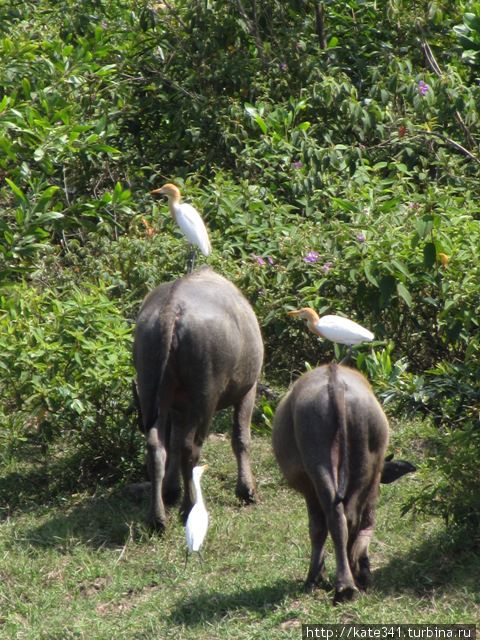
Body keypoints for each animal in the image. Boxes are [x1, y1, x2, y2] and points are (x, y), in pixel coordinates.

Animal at [133, 264, 264, 528]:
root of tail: (172, 308)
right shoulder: (249, 389)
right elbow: (241, 438)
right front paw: (246, 490)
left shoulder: (177, 406)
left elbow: (173, 442)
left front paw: (171, 489)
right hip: (205, 395)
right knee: (190, 449)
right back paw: (189, 506)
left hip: (151, 384)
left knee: (157, 447)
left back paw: (157, 517)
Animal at [272, 362, 414, 604]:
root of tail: (335, 382)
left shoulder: (309, 490)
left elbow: (317, 529)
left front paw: (316, 576)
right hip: (364, 460)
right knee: (351, 519)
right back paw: (353, 579)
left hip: (318, 461)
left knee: (336, 518)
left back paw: (346, 584)